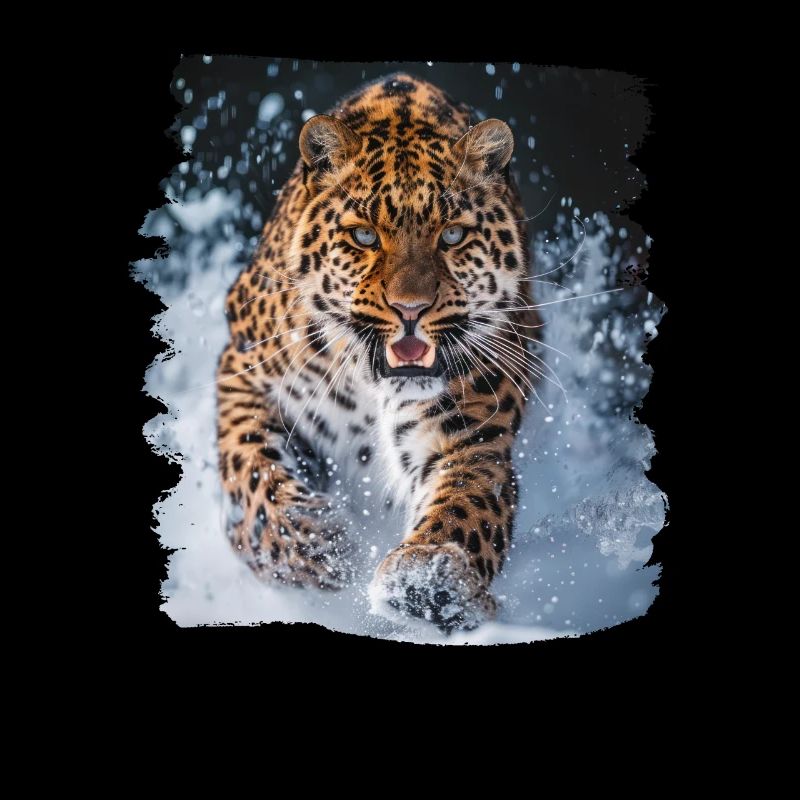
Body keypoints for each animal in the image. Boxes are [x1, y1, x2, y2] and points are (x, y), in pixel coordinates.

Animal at [216, 73, 541, 632]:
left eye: (453, 234)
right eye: (365, 236)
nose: (411, 308)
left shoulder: (473, 427)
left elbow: (468, 500)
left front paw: (429, 580)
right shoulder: (241, 370)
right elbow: (250, 471)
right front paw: (317, 544)